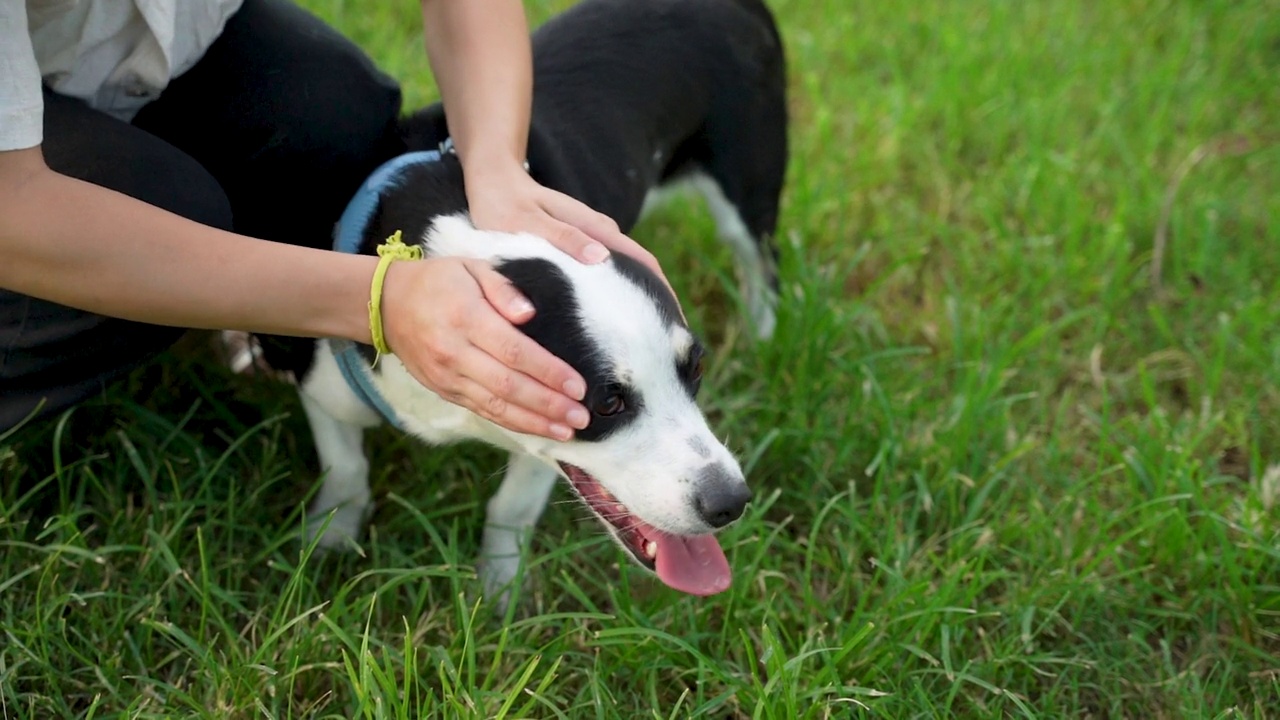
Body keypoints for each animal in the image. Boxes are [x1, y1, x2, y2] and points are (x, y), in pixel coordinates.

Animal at [263, 0, 783, 599]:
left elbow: (510, 508)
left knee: (761, 266)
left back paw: (762, 339)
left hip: (748, 189)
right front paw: (325, 547)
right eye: (607, 403)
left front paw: (497, 596)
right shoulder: (321, 389)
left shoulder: (542, 439)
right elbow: (345, 470)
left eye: (694, 369)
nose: (731, 502)